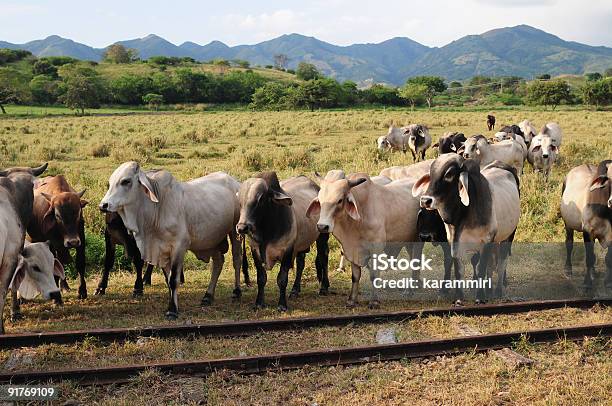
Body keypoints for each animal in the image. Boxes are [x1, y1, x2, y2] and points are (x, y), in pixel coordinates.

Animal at [100, 163, 244, 318]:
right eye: (110, 182)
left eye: (126, 181)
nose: (103, 205)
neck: (157, 209)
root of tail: (235, 181)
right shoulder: (160, 251)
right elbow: (168, 280)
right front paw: (173, 304)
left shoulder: (179, 247)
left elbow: (174, 279)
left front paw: (172, 310)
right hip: (211, 240)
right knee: (218, 262)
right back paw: (208, 296)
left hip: (234, 232)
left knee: (237, 260)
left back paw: (236, 292)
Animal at [235, 172, 330, 310]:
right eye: (239, 201)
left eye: (260, 199)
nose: (242, 227)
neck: (266, 233)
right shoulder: (255, 251)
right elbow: (261, 278)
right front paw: (259, 303)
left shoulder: (287, 251)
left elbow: (282, 279)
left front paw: (282, 305)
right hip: (301, 244)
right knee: (301, 263)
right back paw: (295, 290)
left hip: (322, 235)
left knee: (323, 257)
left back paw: (324, 287)